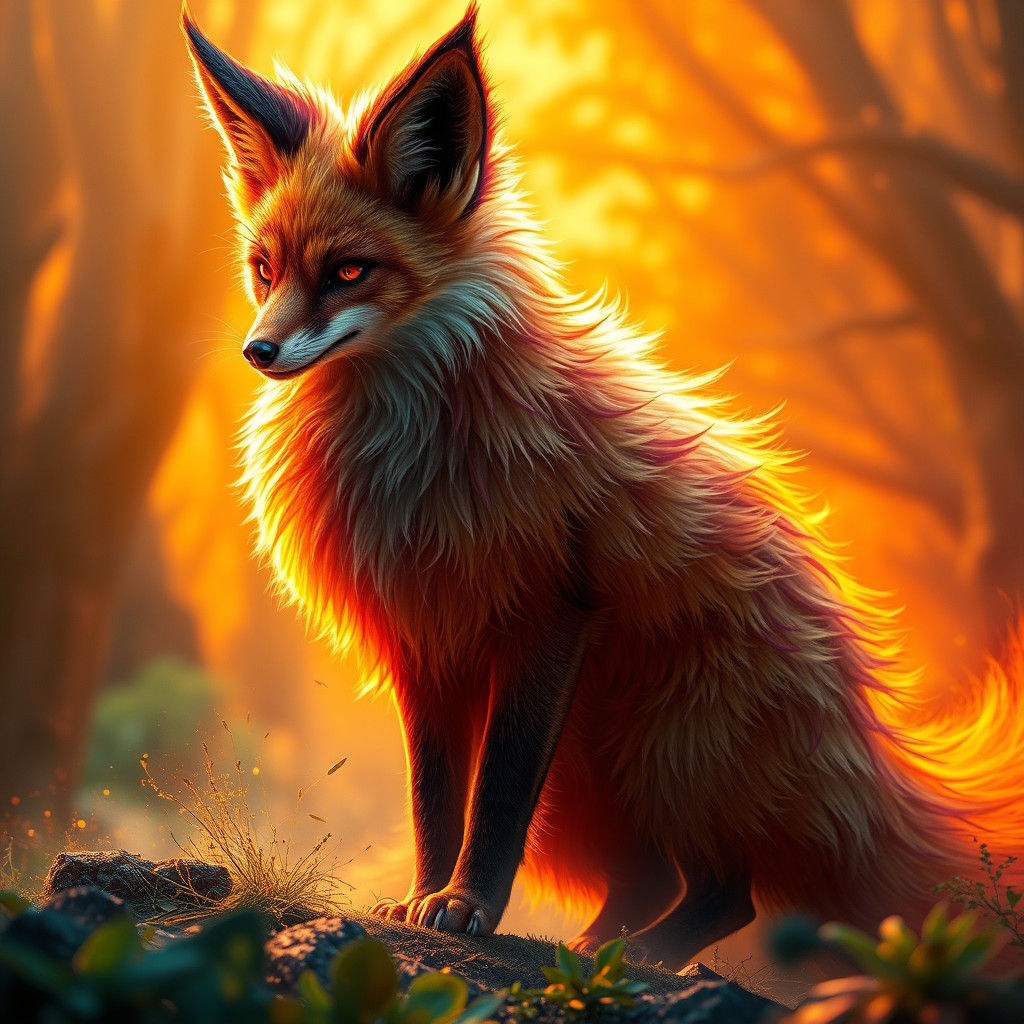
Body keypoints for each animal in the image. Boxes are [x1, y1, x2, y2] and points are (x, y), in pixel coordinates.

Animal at [183, 4, 1024, 967]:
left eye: (349, 271)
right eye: (265, 269)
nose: (259, 351)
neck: (411, 463)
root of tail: (853, 732)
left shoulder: (550, 613)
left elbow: (497, 795)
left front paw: (464, 905)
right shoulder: (424, 642)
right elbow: (435, 798)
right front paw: (422, 897)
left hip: (661, 748)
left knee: (730, 892)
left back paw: (639, 959)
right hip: (593, 788)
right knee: (659, 881)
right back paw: (600, 951)